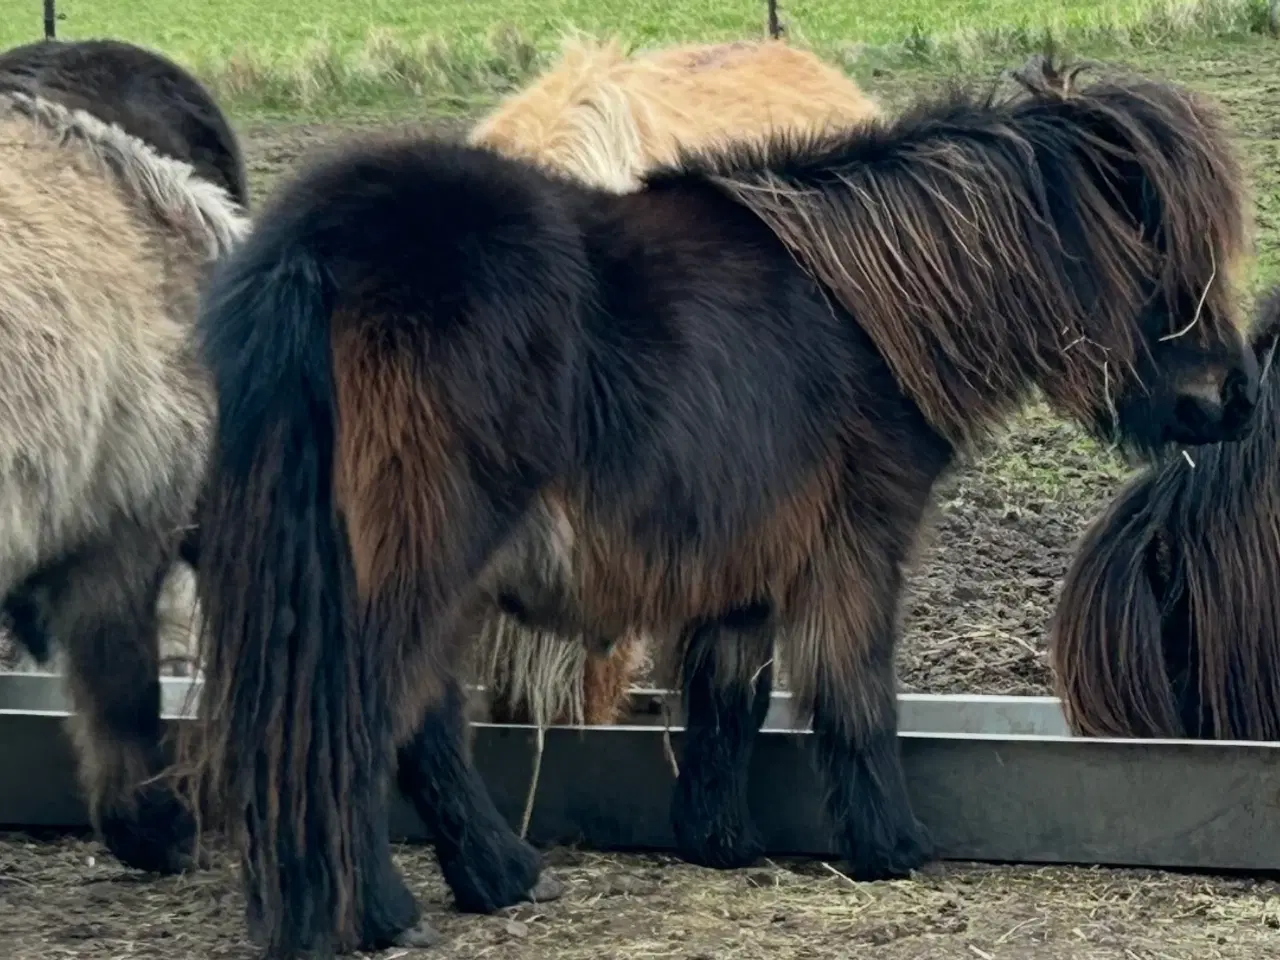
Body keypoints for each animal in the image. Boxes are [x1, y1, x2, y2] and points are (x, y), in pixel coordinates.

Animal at [194, 56, 1254, 957]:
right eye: (1161, 254)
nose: (1237, 400)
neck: (870, 313)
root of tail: (321, 246)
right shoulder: (855, 548)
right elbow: (854, 697)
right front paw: (891, 848)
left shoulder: (743, 559)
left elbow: (727, 701)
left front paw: (717, 841)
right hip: (421, 566)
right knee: (361, 722)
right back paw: (390, 909)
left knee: (397, 725)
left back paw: (493, 880)